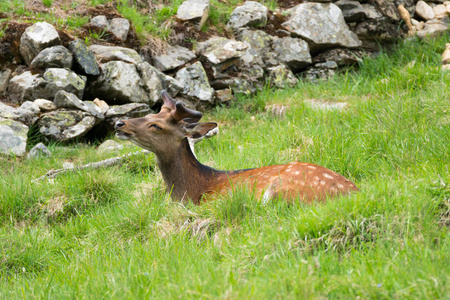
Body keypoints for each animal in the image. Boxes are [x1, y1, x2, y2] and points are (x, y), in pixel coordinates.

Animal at [115, 91, 358, 204]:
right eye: (149, 114)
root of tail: (354, 192)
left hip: (282, 189)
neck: (191, 192)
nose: (119, 123)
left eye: (156, 125)